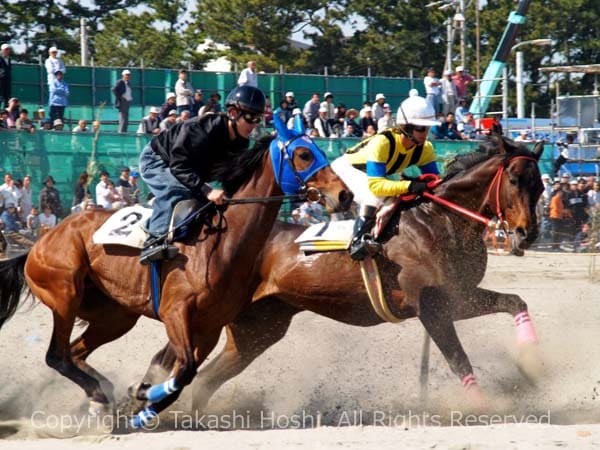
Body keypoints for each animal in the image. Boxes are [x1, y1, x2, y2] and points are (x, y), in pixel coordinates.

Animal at [0, 125, 352, 426]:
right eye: (304, 154)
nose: (345, 195)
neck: (220, 243)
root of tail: (38, 244)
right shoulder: (176, 312)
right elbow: (185, 371)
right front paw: (142, 397)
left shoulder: (209, 326)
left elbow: (187, 373)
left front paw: (143, 399)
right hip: (64, 293)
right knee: (56, 356)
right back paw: (101, 395)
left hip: (115, 316)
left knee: (74, 353)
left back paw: (102, 398)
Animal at [138, 137, 548, 414]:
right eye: (515, 181)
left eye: (541, 185)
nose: (527, 234)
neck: (442, 220)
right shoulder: (432, 305)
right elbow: (458, 358)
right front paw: (484, 406)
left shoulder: (458, 296)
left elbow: (516, 302)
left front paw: (532, 365)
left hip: (258, 328)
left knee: (205, 378)